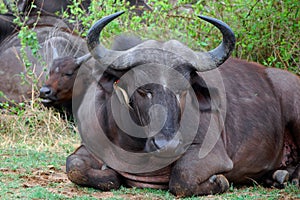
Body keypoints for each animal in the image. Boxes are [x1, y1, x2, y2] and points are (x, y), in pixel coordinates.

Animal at [66, 11, 300, 197]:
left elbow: (182, 178)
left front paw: (220, 181)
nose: (168, 145)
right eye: (142, 89)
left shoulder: (214, 155)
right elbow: (74, 166)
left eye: (184, 88)